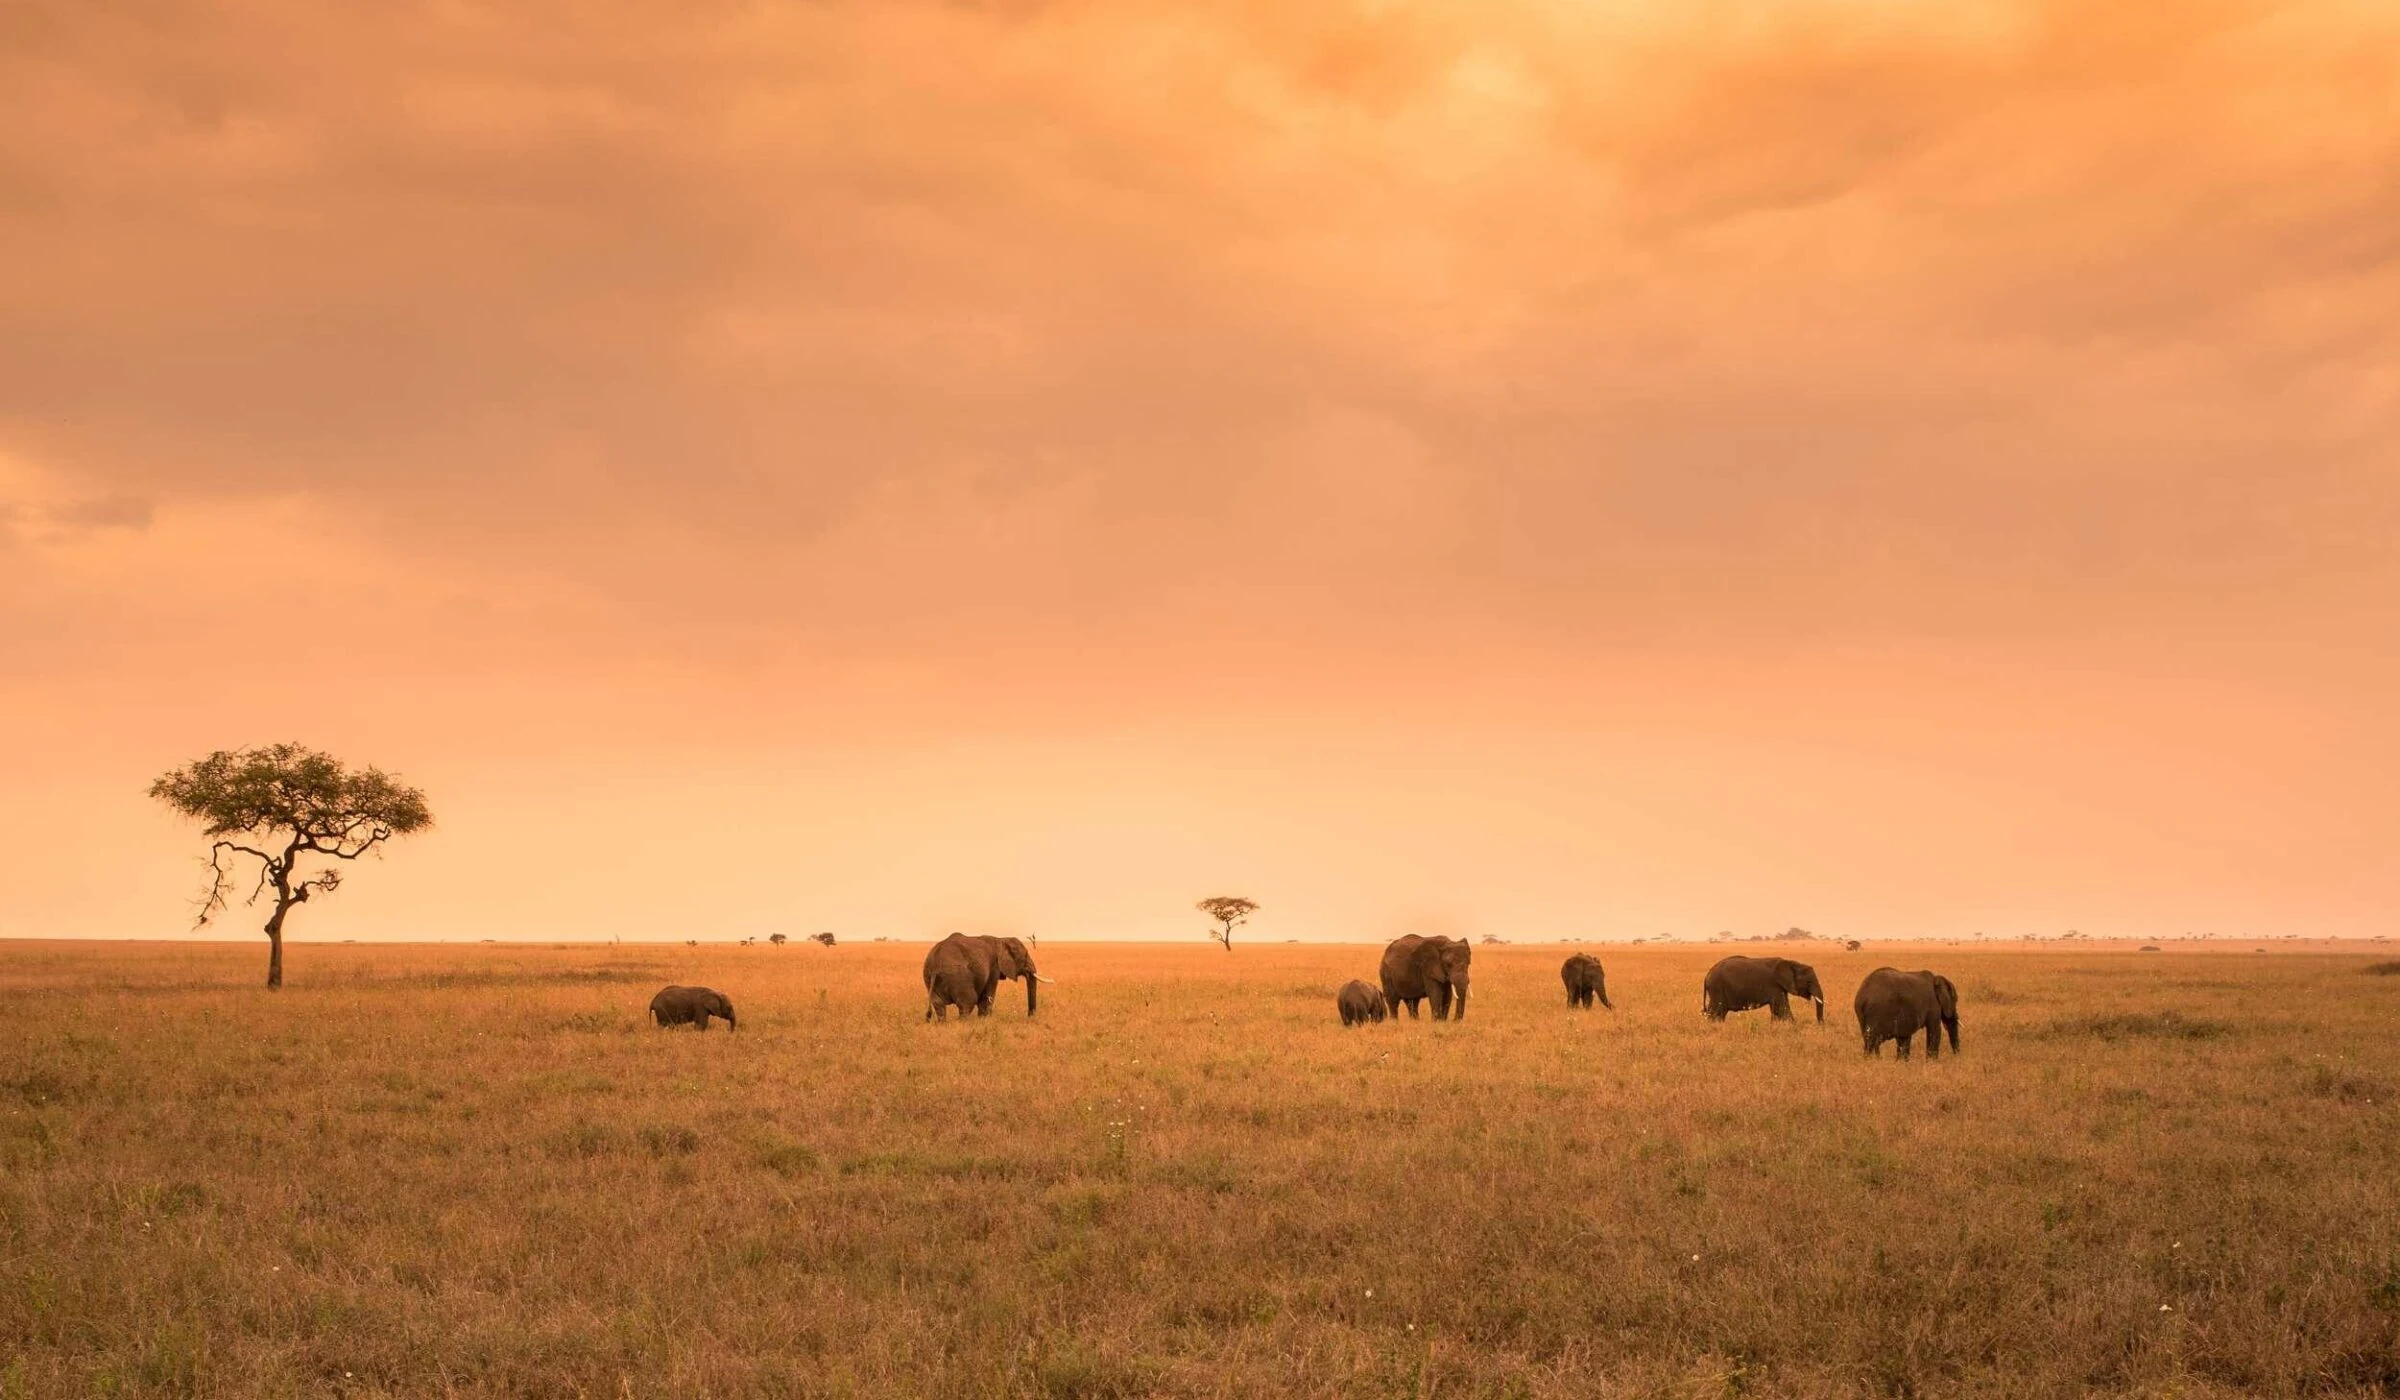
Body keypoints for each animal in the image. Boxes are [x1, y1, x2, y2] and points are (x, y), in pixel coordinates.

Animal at [923, 932, 1051, 1021]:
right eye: (1025, 956)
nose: (1029, 1017)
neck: (1001, 939)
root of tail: (935, 963)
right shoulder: (994, 967)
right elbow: (987, 996)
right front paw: (984, 1021)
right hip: (957, 975)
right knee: (967, 1003)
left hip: (929, 977)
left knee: (939, 1006)